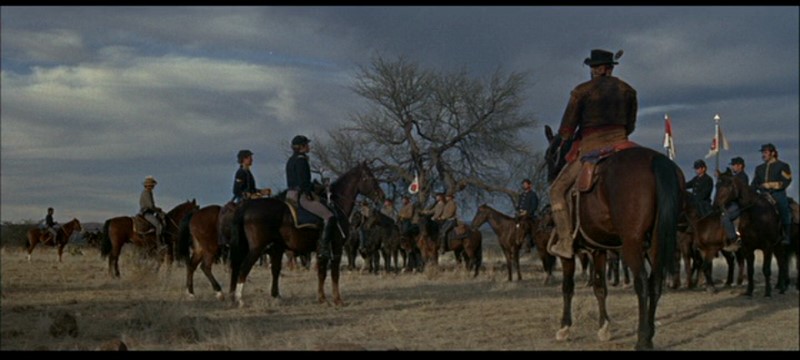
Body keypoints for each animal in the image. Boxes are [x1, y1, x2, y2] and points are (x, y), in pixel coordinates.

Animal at [228, 162, 384, 306]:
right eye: (369, 177)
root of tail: (246, 206)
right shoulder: (336, 246)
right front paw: (337, 299)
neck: (335, 206)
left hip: (271, 248)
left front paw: (322, 298)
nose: (381, 196)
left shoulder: (321, 250)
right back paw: (240, 299)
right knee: (243, 268)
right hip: (257, 248)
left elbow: (321, 273)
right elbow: (334, 273)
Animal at [544, 125, 680, 350]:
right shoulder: (598, 250)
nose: (550, 178)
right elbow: (600, 288)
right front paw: (604, 328)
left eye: (549, 155)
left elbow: (567, 287)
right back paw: (650, 333)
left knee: (642, 283)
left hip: (632, 245)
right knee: (655, 283)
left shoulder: (568, 254)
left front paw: (564, 328)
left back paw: (642, 339)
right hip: (656, 244)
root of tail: (656, 160)